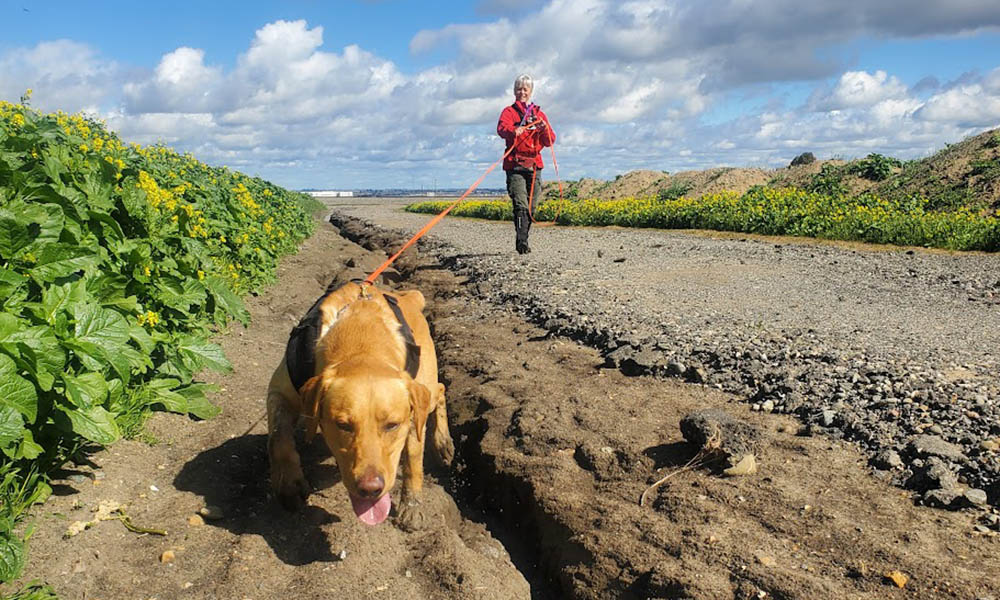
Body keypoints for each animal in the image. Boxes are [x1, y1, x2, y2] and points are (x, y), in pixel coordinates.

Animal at [266, 278, 454, 528]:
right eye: (342, 425)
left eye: (392, 425)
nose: (370, 488)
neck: (361, 343)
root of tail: (410, 298)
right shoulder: (280, 391)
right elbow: (279, 438)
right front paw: (289, 482)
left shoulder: (414, 411)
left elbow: (414, 458)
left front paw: (412, 503)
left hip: (426, 386)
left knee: (440, 389)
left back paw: (443, 441)